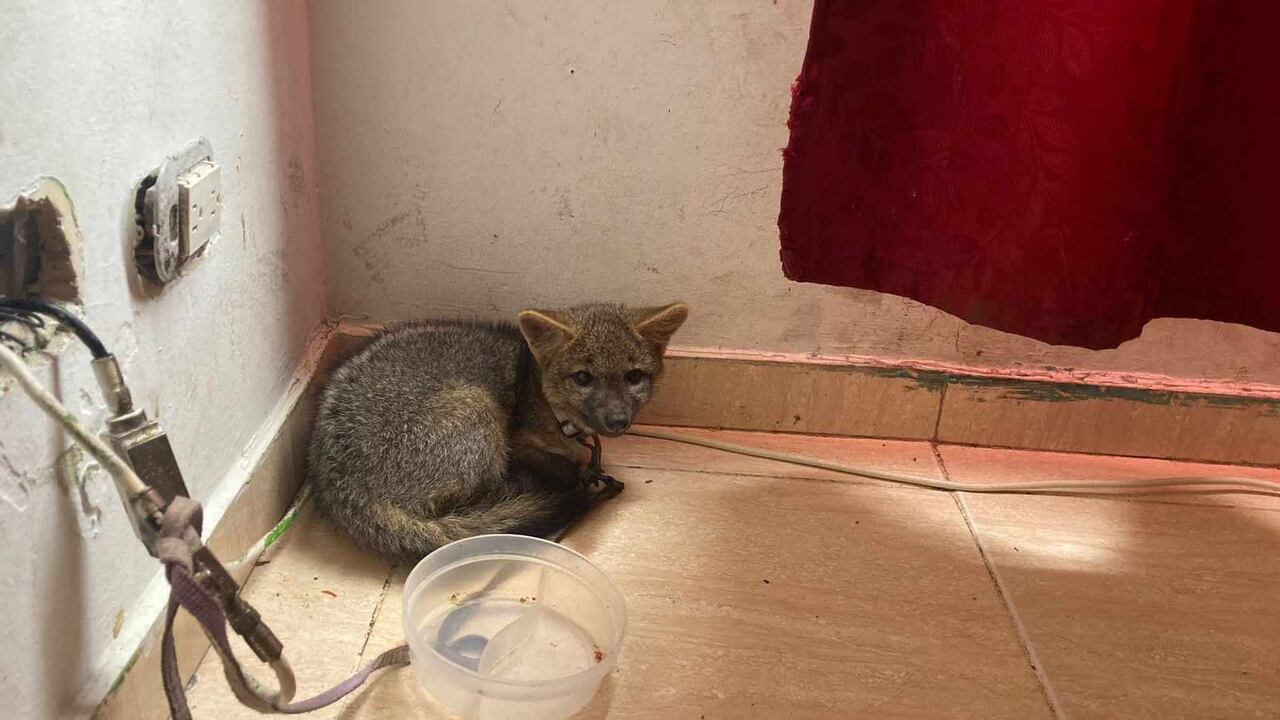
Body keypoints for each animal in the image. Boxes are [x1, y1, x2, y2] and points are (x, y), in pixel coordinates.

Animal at [307, 302, 689, 559]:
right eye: (583, 377)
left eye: (634, 377)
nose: (617, 421)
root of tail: (344, 488)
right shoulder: (517, 443)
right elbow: (563, 466)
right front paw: (576, 473)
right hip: (478, 406)